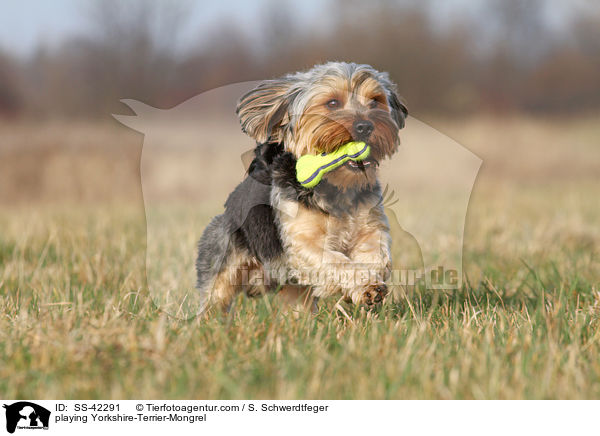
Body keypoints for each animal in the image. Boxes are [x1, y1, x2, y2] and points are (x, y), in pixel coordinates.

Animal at [197, 62, 408, 314]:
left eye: (375, 101)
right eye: (332, 103)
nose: (366, 126)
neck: (337, 185)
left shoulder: (371, 224)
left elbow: (377, 254)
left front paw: (368, 286)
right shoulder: (303, 241)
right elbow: (336, 260)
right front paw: (363, 284)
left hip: (292, 289)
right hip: (222, 256)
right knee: (215, 295)